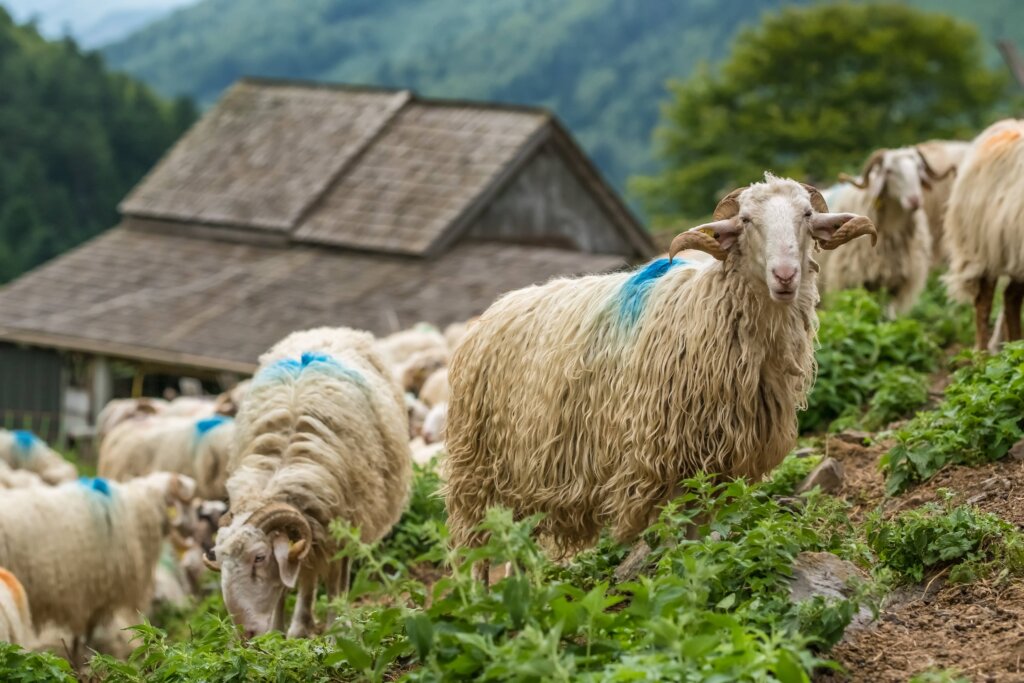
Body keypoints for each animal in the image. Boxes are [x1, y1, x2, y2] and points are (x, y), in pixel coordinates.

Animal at [0, 472, 196, 657]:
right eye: (186, 505)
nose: (193, 532)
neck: (136, 513)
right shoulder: (97, 591)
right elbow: (87, 630)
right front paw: (83, 655)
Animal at [205, 327, 412, 639]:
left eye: (259, 558)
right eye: (221, 561)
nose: (246, 634)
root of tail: (329, 330)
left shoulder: (338, 523)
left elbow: (333, 579)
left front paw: (336, 627)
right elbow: (286, 586)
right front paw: (279, 633)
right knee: (307, 575)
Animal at [443, 174, 876, 558]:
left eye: (806, 214)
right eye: (746, 220)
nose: (784, 275)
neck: (706, 309)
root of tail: (491, 312)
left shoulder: (719, 463)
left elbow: (702, 526)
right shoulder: (659, 456)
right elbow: (674, 530)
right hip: (476, 469)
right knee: (474, 551)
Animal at [817, 146, 950, 316]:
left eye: (919, 167)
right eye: (888, 171)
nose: (914, 200)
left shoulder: (896, 286)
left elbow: (886, 316)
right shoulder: (852, 281)